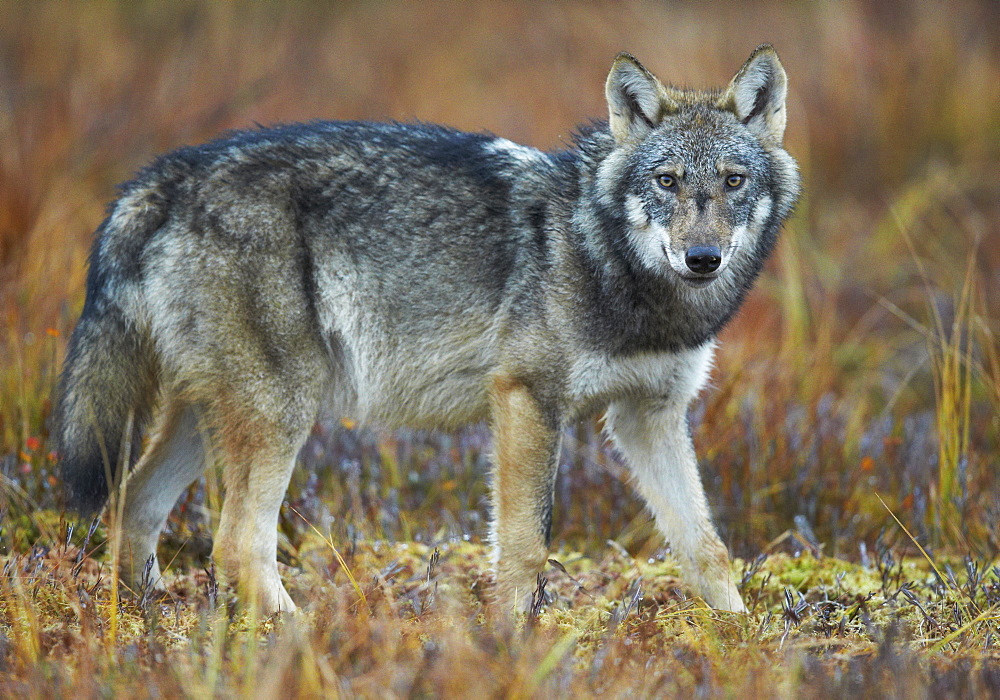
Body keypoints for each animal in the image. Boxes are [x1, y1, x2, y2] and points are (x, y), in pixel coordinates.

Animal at [54, 45, 800, 612]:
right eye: (668, 181)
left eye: (733, 181)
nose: (702, 258)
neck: (610, 260)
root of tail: (163, 176)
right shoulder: (527, 400)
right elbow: (526, 546)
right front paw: (514, 639)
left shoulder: (650, 416)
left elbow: (707, 547)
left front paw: (738, 637)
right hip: (280, 411)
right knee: (236, 542)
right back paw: (300, 634)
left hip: (210, 419)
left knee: (134, 506)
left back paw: (148, 623)